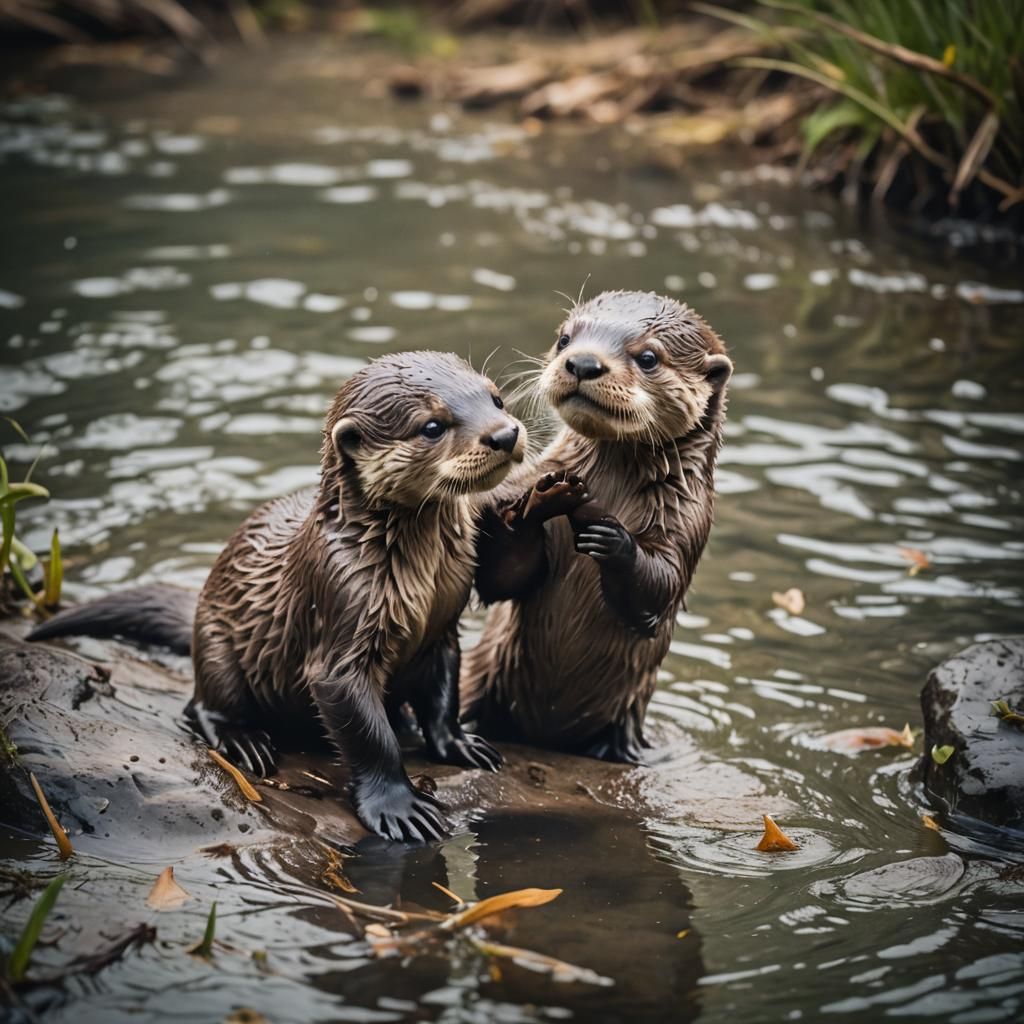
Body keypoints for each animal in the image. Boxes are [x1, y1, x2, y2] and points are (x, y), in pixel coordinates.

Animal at [32, 352, 527, 843]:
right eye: (432, 426)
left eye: (496, 398)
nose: (505, 433)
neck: (424, 582)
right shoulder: (341, 611)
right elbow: (369, 736)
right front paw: (398, 806)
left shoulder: (443, 627)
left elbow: (443, 698)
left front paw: (460, 744)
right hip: (215, 647)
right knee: (201, 704)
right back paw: (244, 741)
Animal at [463, 290, 731, 763]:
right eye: (565, 338)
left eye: (648, 357)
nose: (583, 363)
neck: (609, 487)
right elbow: (502, 580)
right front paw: (541, 504)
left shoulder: (690, 522)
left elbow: (658, 592)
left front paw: (611, 537)